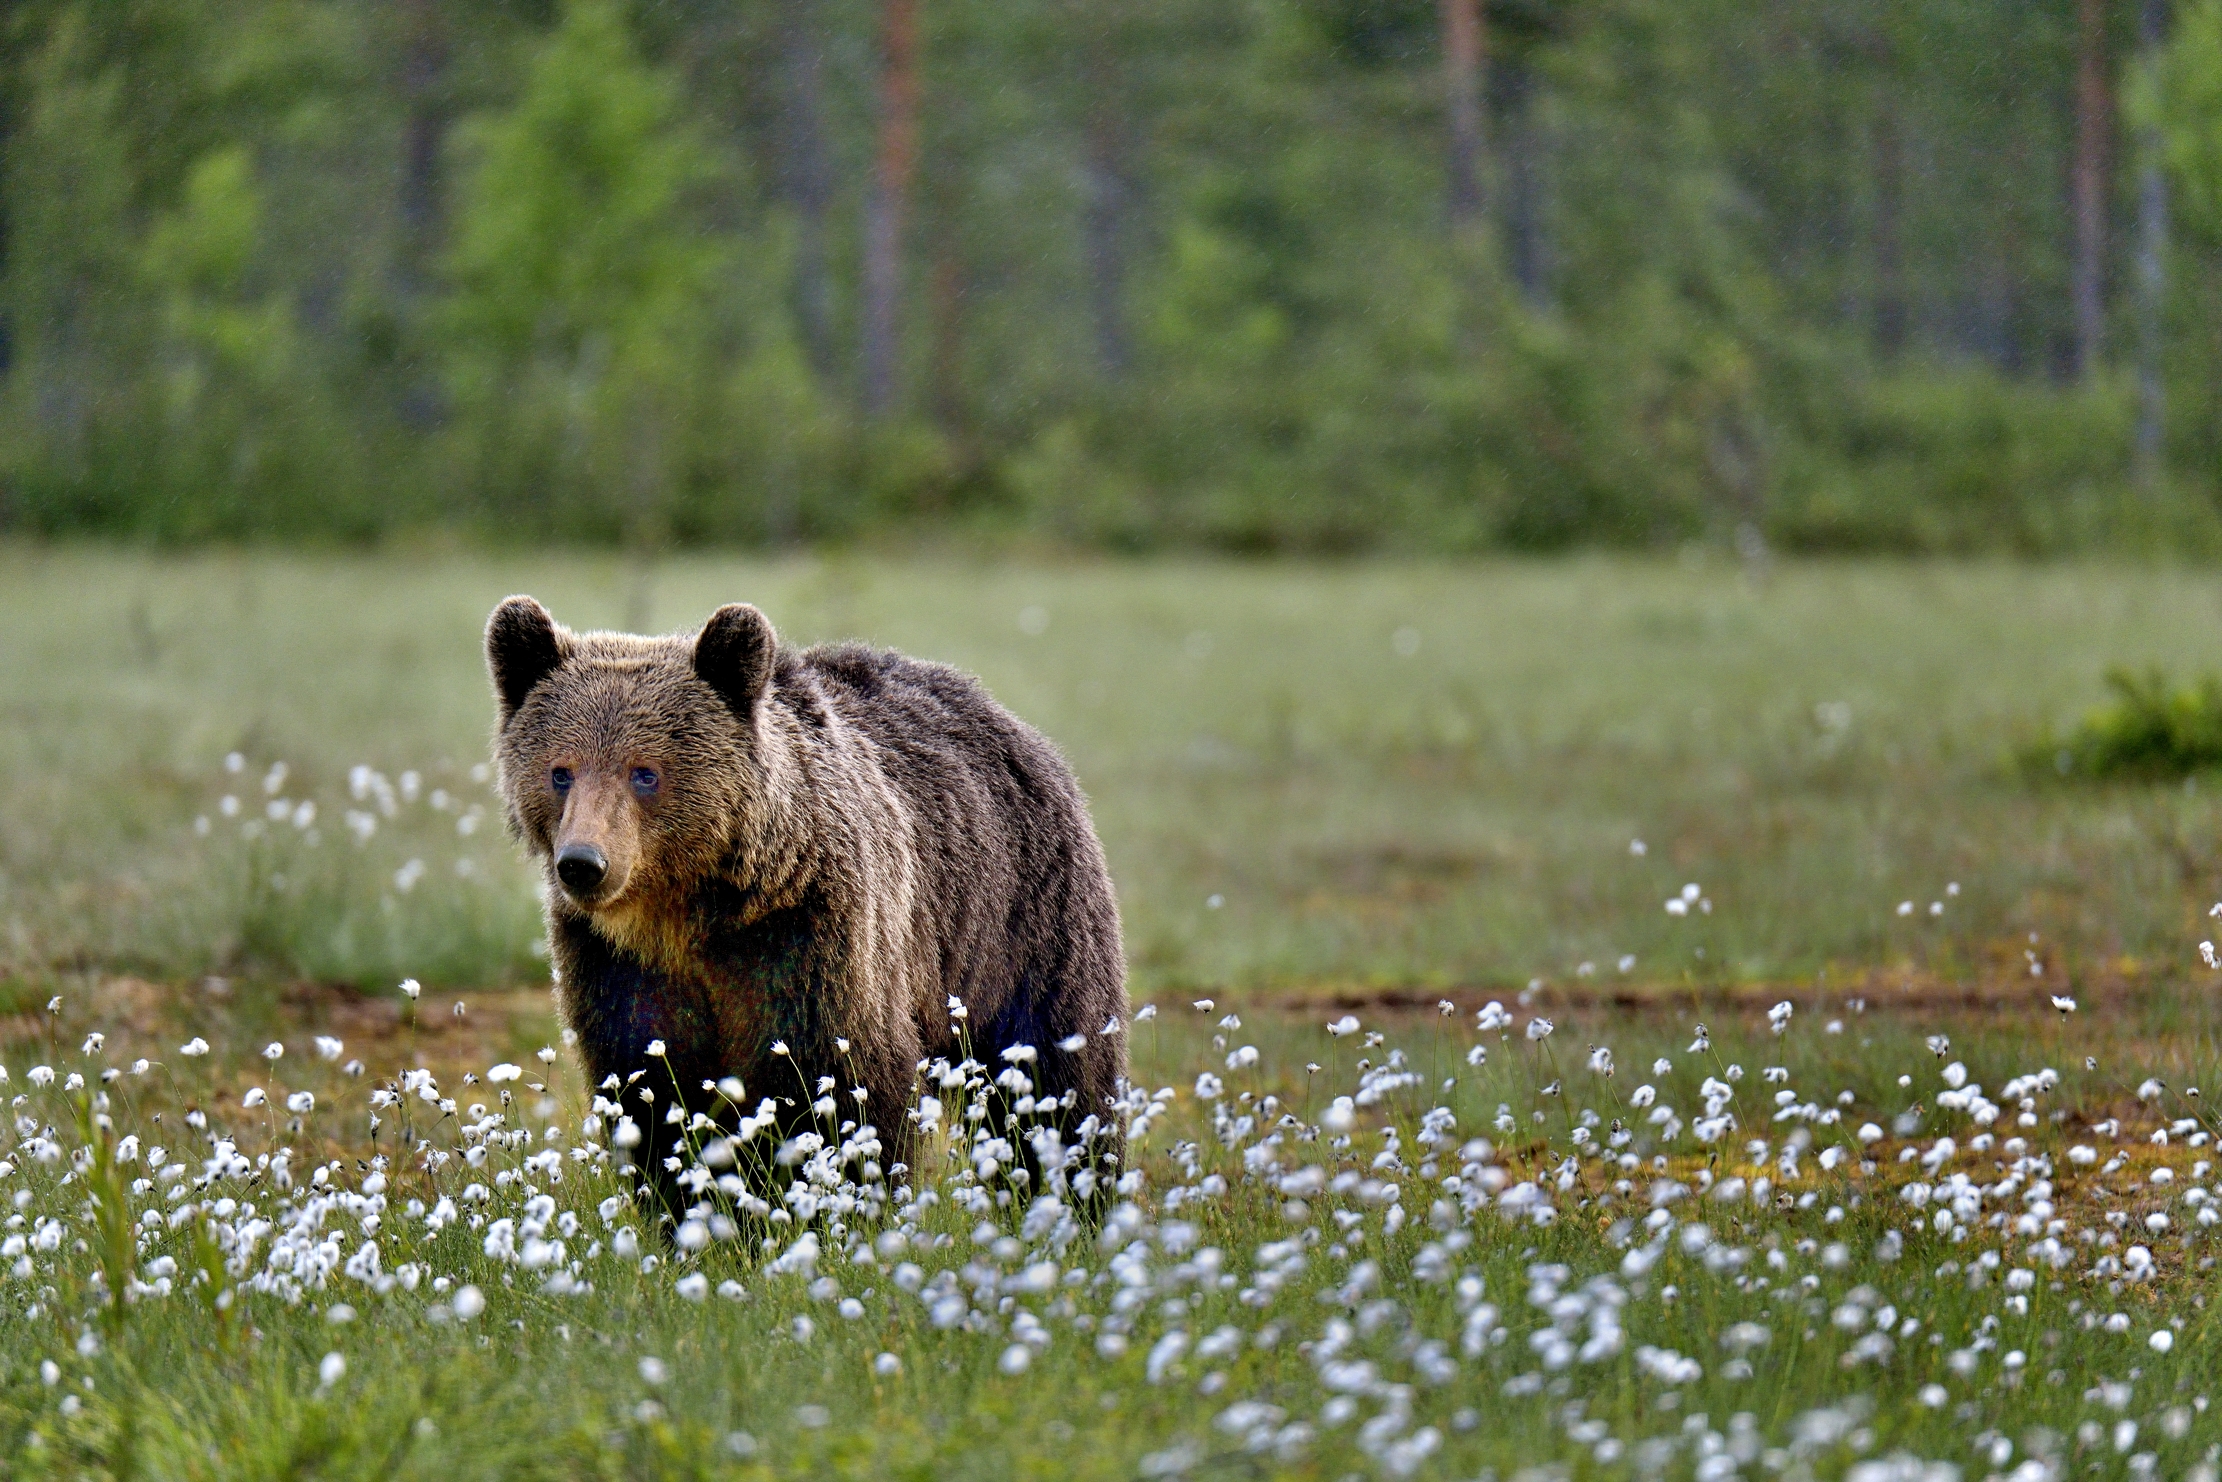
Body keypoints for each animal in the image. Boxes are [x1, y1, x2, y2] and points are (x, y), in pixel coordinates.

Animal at [484, 595, 1128, 1217]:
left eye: (645, 772)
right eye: (560, 772)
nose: (583, 863)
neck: (686, 913)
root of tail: (1008, 719)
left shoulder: (806, 936)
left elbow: (840, 1084)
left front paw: (833, 1208)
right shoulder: (618, 962)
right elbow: (650, 1087)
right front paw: (696, 1216)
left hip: (1017, 920)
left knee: (1054, 1069)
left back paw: (1076, 1195)